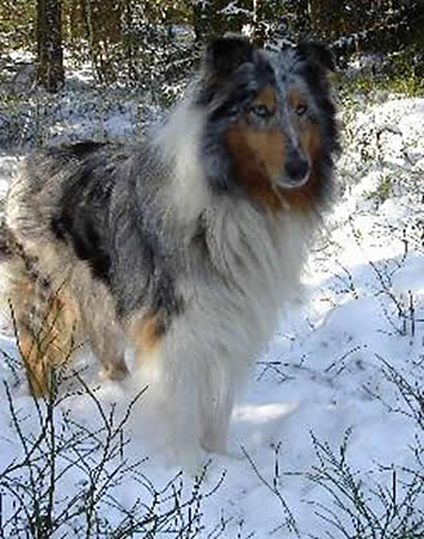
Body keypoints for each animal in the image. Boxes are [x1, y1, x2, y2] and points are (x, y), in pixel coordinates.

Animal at [1, 37, 339, 467]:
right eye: (260, 109)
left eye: (301, 109)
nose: (299, 169)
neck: (240, 200)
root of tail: (31, 161)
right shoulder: (177, 328)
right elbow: (183, 409)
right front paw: (193, 470)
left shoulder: (233, 323)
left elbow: (218, 408)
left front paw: (221, 459)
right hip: (49, 296)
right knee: (35, 355)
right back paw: (43, 415)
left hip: (101, 298)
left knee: (109, 358)